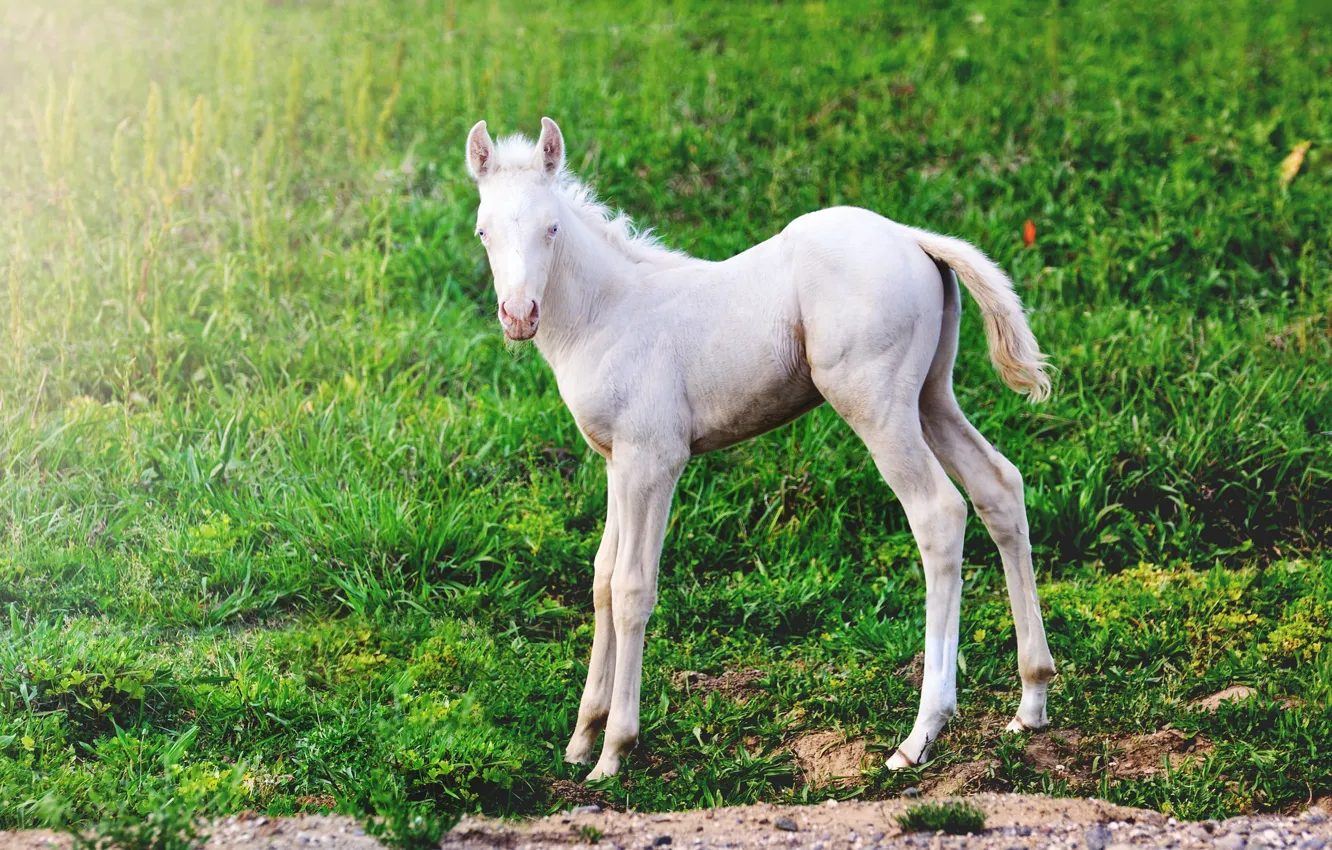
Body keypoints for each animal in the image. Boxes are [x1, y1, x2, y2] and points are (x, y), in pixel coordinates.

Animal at [464, 117, 1057, 781]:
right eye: (484, 229)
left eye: (552, 228)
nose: (519, 315)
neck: (607, 313)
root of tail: (913, 237)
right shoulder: (617, 462)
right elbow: (601, 579)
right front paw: (581, 738)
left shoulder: (654, 460)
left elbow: (632, 589)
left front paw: (615, 750)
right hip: (930, 396)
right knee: (998, 487)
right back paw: (1031, 701)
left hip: (877, 407)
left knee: (939, 513)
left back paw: (920, 733)